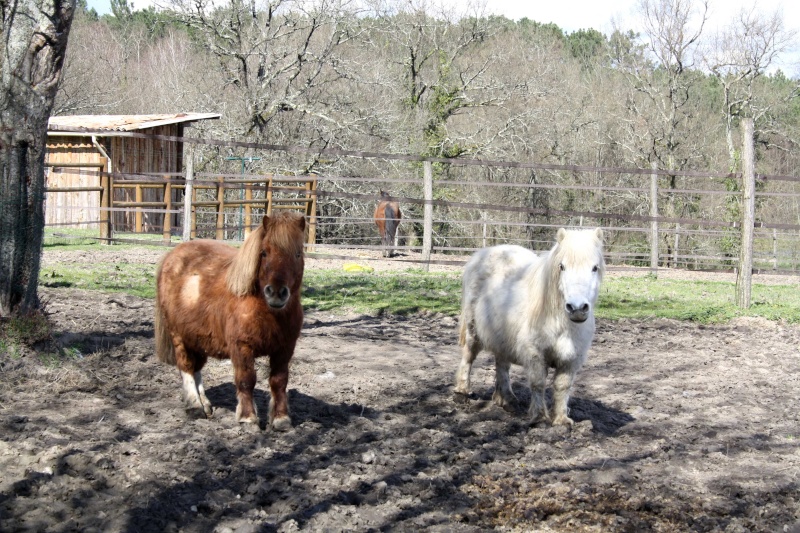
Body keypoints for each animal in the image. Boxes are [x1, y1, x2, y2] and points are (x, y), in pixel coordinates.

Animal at [155, 210, 304, 430]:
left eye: (298, 254)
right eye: (264, 253)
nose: (276, 292)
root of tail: (171, 256)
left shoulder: (285, 348)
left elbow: (279, 381)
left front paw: (280, 419)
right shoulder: (241, 347)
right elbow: (246, 380)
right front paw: (248, 418)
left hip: (197, 338)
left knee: (197, 368)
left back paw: (205, 404)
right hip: (179, 336)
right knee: (187, 367)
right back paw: (194, 406)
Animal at [454, 227, 604, 426]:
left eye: (595, 267)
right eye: (562, 266)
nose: (577, 308)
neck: (561, 323)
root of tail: (484, 253)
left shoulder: (571, 359)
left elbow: (562, 387)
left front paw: (561, 420)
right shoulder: (535, 353)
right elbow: (538, 383)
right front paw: (539, 418)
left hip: (502, 338)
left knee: (502, 365)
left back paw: (507, 399)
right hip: (474, 333)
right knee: (468, 358)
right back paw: (462, 392)